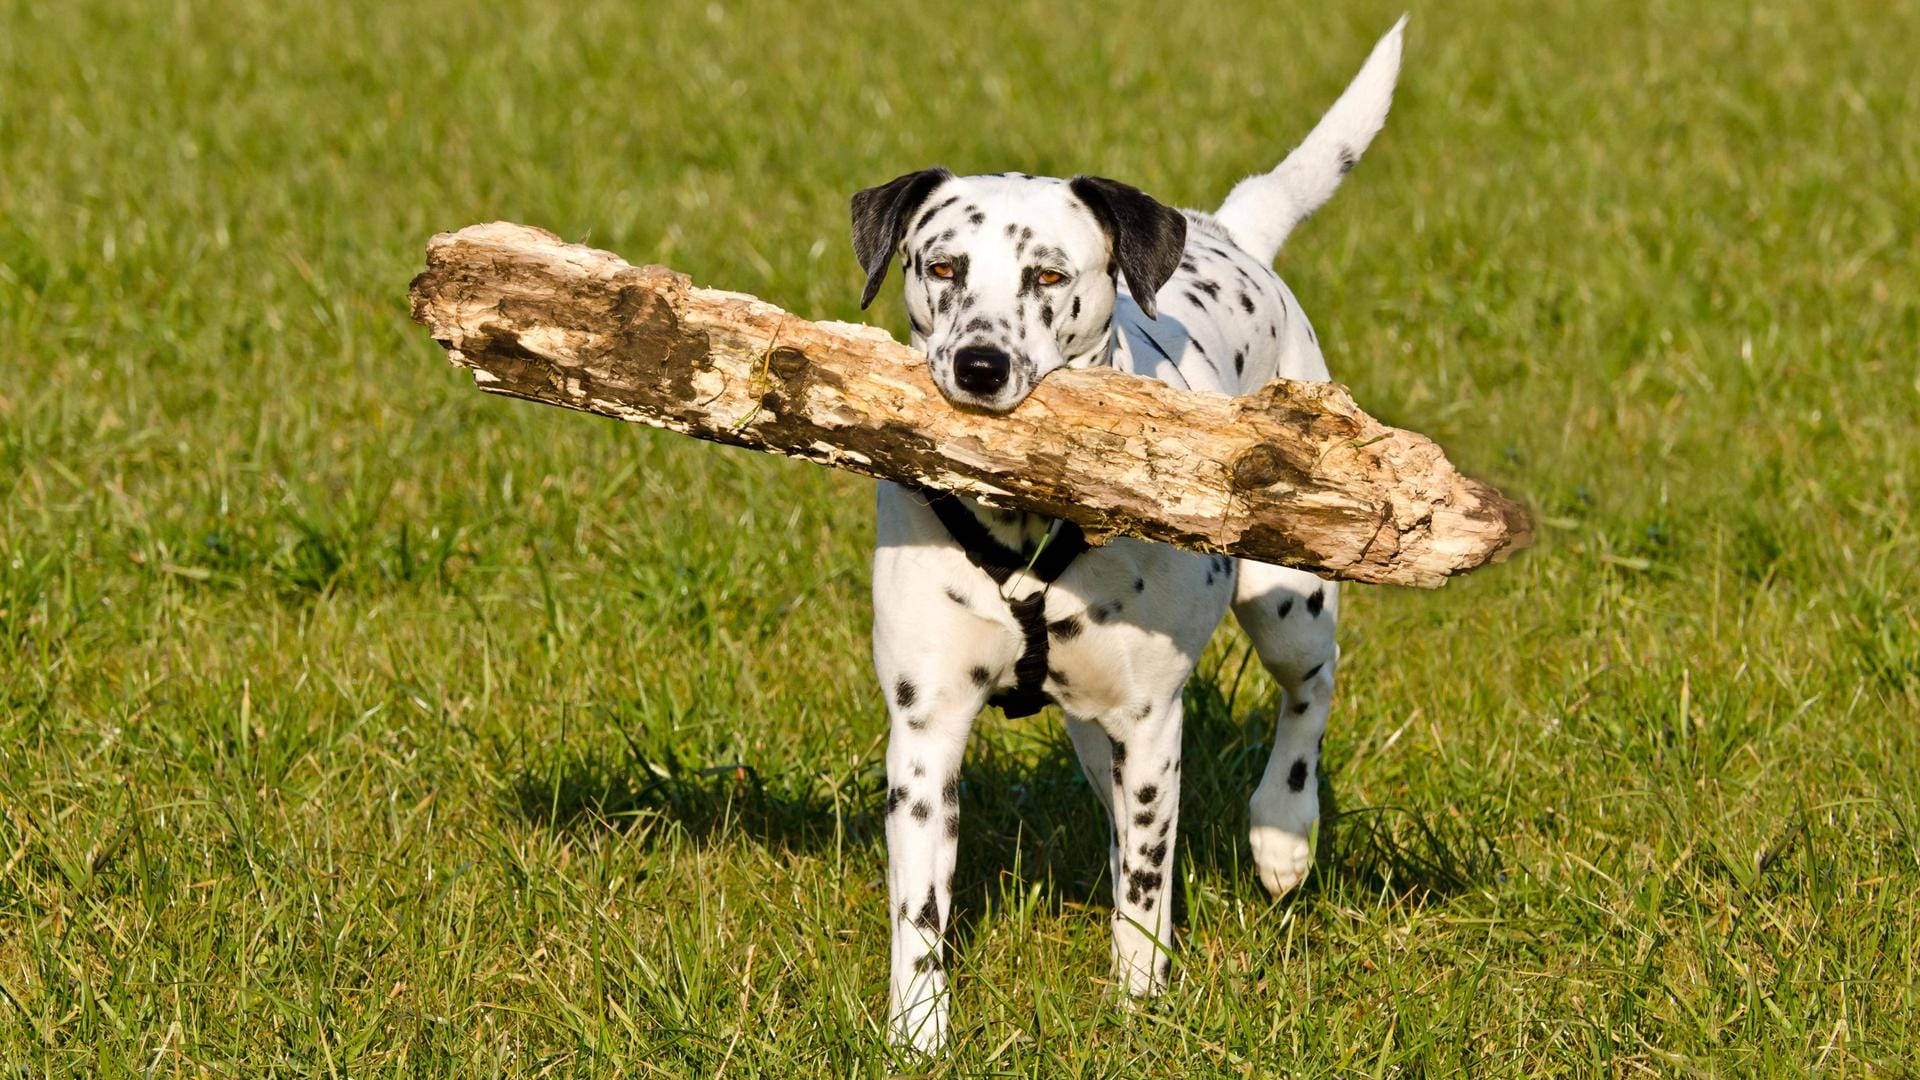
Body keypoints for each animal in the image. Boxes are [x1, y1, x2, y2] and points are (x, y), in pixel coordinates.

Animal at [856, 18, 1413, 1053]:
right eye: (941, 266)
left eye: (1048, 274)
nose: (980, 365)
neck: (1026, 533)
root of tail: (1229, 227)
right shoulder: (925, 728)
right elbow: (922, 909)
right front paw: (917, 1032)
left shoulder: (1152, 722)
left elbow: (1147, 888)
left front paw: (1139, 1003)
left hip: (1286, 603)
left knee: (1310, 689)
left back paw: (1282, 829)